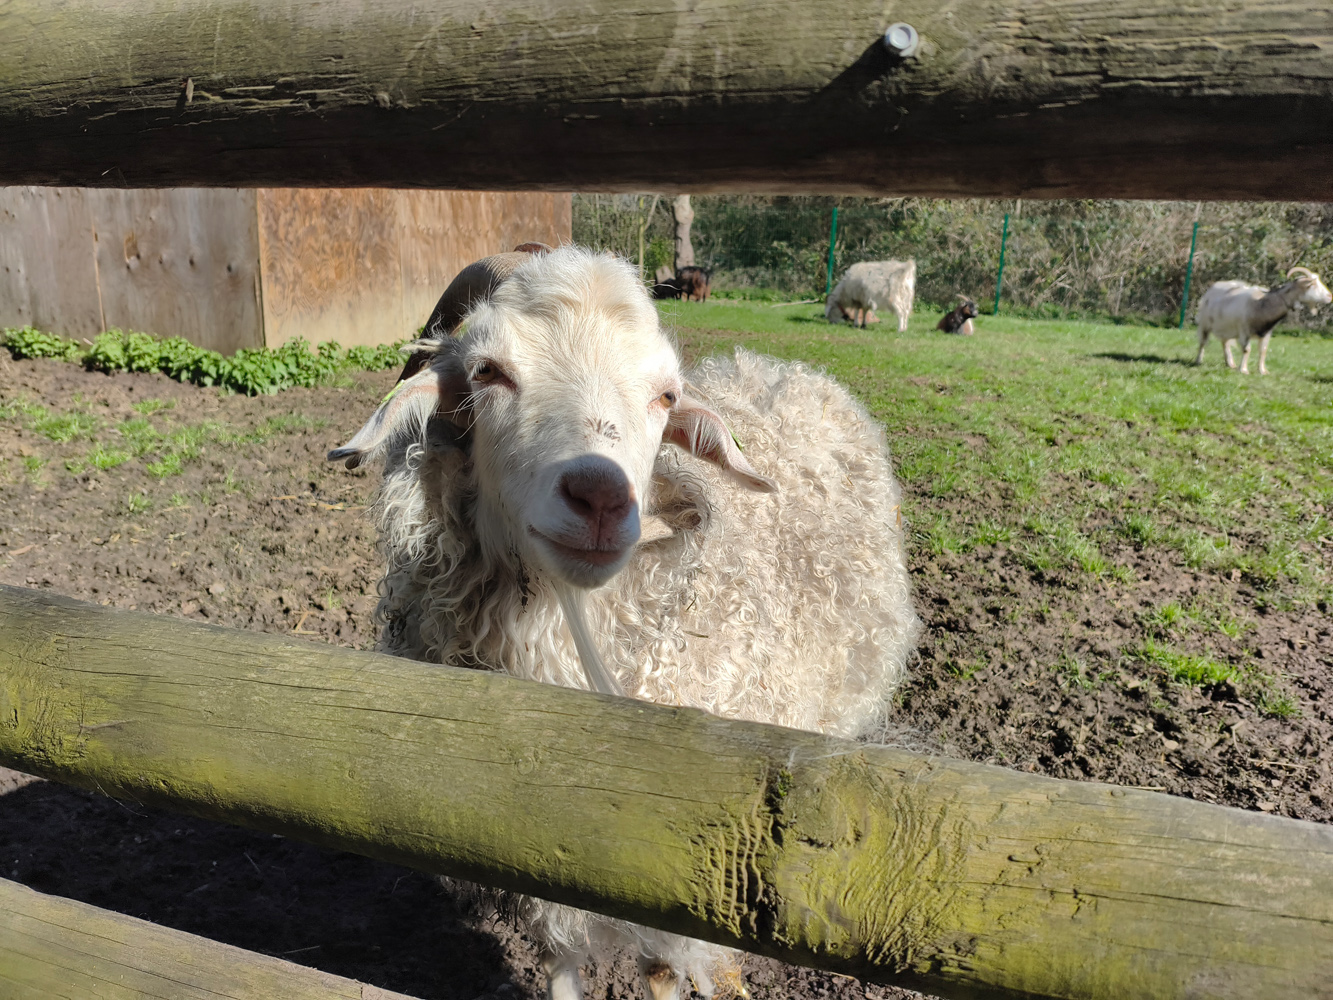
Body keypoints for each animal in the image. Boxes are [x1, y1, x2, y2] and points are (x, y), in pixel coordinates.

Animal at [330, 245, 920, 1000]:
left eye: (665, 396)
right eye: (488, 371)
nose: (602, 496)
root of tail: (782, 369)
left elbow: (666, 972)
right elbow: (560, 966)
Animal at [1195, 267, 1331, 374]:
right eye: (1312, 284)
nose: (1330, 296)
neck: (1260, 304)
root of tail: (1211, 289)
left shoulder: (1267, 332)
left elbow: (1263, 351)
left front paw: (1262, 371)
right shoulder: (1244, 330)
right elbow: (1247, 350)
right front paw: (1243, 370)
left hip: (1226, 326)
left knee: (1225, 343)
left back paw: (1230, 363)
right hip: (1205, 323)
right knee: (1202, 342)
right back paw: (1198, 360)